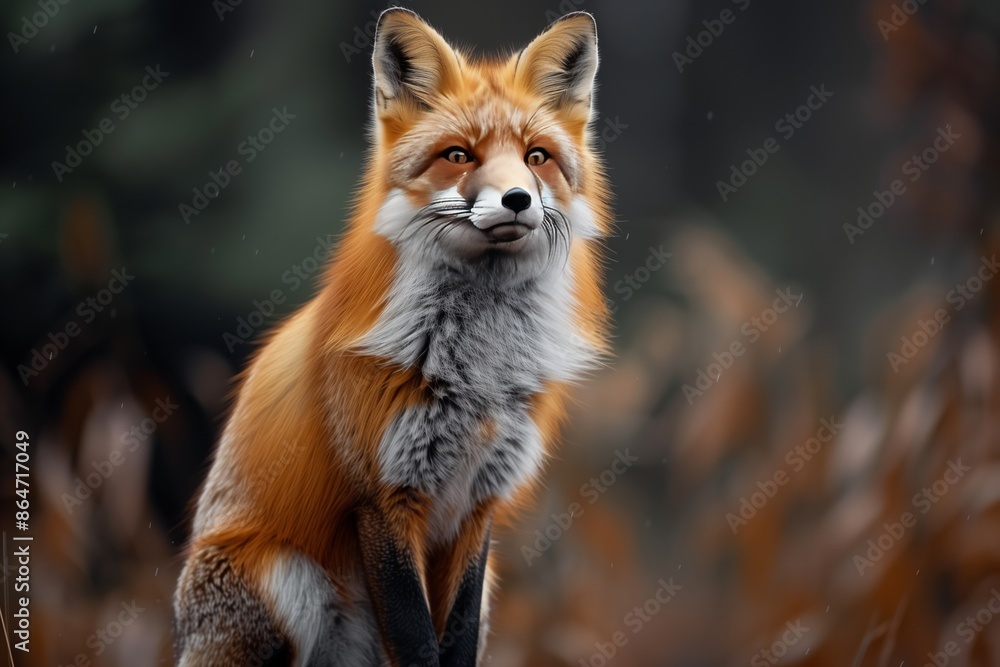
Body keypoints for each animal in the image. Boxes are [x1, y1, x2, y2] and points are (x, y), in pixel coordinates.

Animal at [173, 8, 611, 666]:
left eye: (537, 157)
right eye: (458, 155)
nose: (516, 199)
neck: (479, 373)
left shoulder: (476, 506)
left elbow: (454, 639)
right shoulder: (382, 497)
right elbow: (415, 640)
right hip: (287, 577)